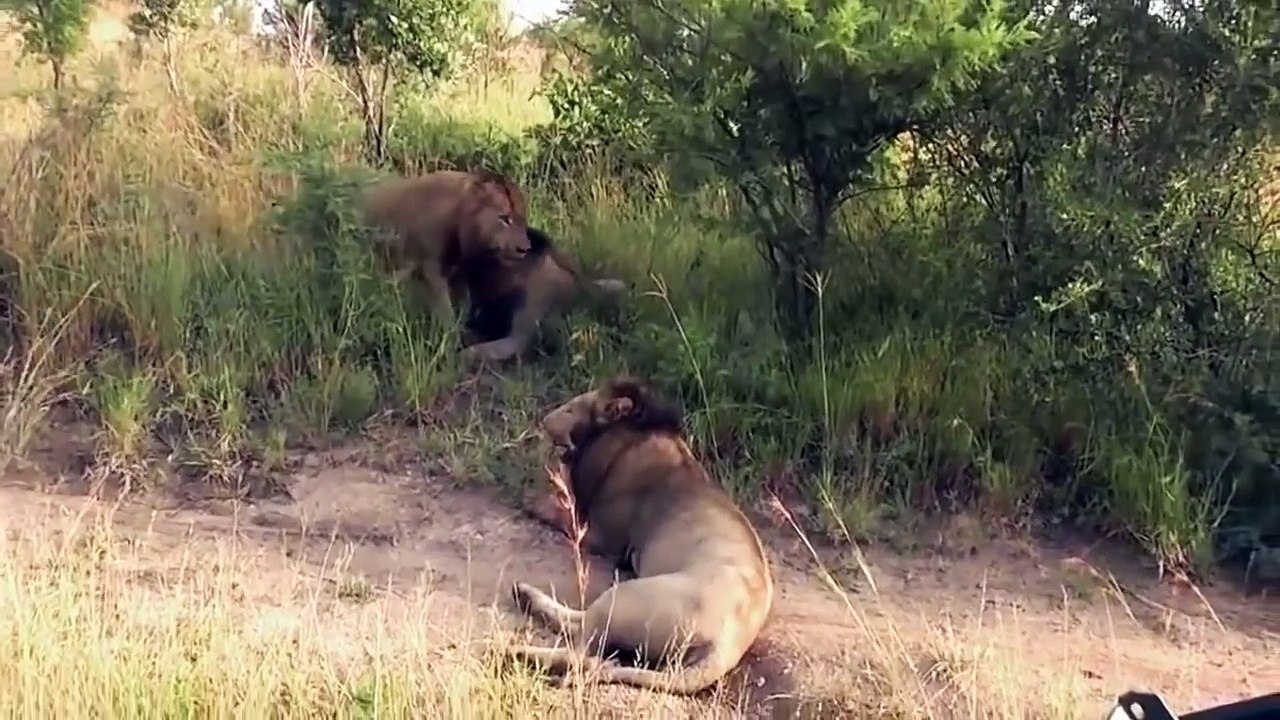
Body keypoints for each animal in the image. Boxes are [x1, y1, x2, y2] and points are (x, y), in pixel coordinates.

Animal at [506, 376, 774, 695]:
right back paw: (525, 596)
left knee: (585, 653)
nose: (545, 420)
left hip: (624, 596)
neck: (627, 440)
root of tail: (726, 646)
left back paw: (514, 649)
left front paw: (531, 500)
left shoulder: (601, 535)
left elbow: (562, 515)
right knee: (583, 637)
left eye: (572, 408)